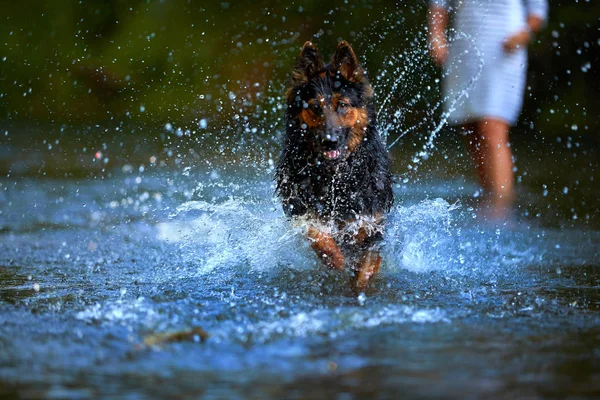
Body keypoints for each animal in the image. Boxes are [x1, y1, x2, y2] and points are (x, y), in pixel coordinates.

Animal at [274, 41, 394, 294]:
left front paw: (360, 286)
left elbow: (367, 263)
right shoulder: (302, 210)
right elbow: (319, 236)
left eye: (343, 105)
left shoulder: (371, 220)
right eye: (314, 107)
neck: (335, 175)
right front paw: (337, 261)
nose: (330, 140)